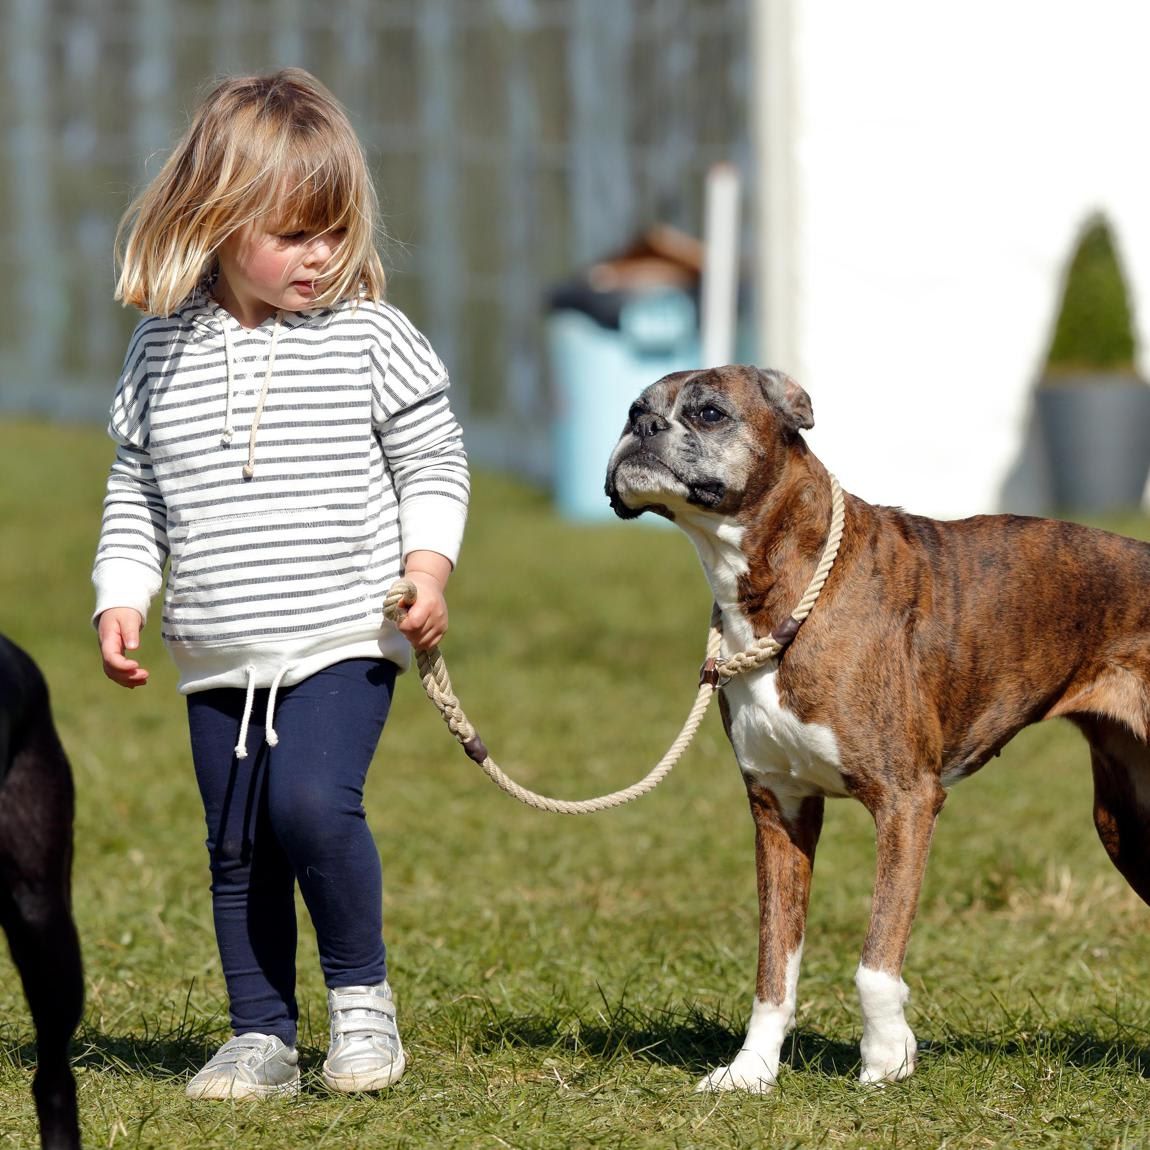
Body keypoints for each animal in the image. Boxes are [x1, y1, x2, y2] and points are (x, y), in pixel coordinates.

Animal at [602, 363, 1150, 1090]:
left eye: (710, 412)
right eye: (634, 408)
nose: (642, 427)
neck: (786, 581)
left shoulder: (905, 803)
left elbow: (876, 960)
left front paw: (887, 1056)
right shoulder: (780, 812)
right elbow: (774, 966)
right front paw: (751, 1072)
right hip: (1128, 824)